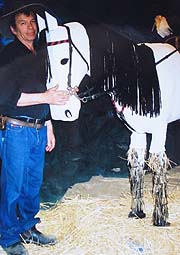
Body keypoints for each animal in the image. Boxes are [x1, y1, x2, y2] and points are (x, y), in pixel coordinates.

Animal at [37, 11, 180, 227]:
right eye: (47, 63)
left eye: (64, 60)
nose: (61, 112)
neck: (140, 77)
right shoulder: (137, 131)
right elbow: (137, 163)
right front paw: (136, 212)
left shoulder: (159, 130)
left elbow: (157, 166)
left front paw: (160, 219)